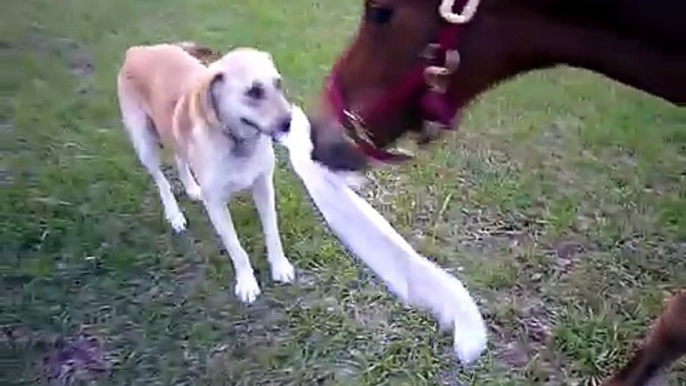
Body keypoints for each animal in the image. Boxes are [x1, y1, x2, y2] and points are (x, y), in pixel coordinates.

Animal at [116, 41, 298, 302]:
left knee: (179, 157)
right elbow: (236, 248)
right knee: (160, 179)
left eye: (278, 84)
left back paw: (192, 188)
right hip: (144, 142)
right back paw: (174, 215)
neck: (237, 142)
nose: (289, 123)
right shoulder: (216, 204)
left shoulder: (264, 186)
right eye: (253, 91)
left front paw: (280, 266)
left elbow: (272, 232)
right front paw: (246, 282)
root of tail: (139, 50)